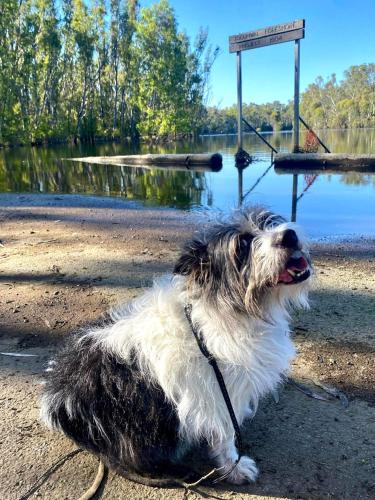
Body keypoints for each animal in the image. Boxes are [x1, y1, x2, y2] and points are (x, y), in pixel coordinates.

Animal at [40, 207, 312, 484]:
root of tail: (58, 399)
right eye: (243, 244)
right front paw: (234, 466)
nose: (289, 235)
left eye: (269, 222)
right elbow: (225, 436)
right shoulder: (217, 393)